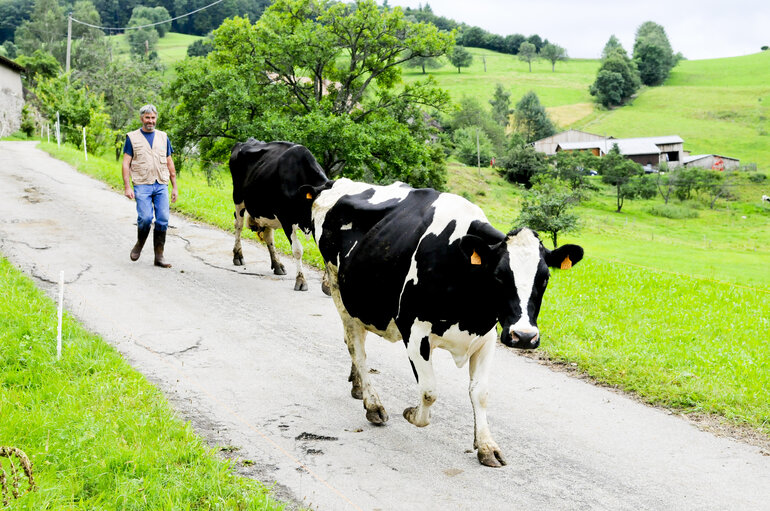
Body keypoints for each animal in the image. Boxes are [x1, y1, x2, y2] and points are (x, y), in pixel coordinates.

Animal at [226, 140, 326, 292]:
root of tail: (245, 142)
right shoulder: (286, 219)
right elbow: (297, 250)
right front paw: (301, 280)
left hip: (266, 211)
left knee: (268, 236)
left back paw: (277, 264)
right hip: (238, 198)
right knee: (238, 226)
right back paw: (238, 255)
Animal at [306, 179, 584, 468]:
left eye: (545, 278)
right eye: (498, 275)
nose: (525, 336)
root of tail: (336, 182)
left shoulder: (487, 336)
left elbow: (480, 392)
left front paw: (486, 446)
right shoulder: (414, 331)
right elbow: (429, 391)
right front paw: (411, 413)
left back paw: (358, 387)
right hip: (339, 290)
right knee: (357, 349)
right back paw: (373, 405)